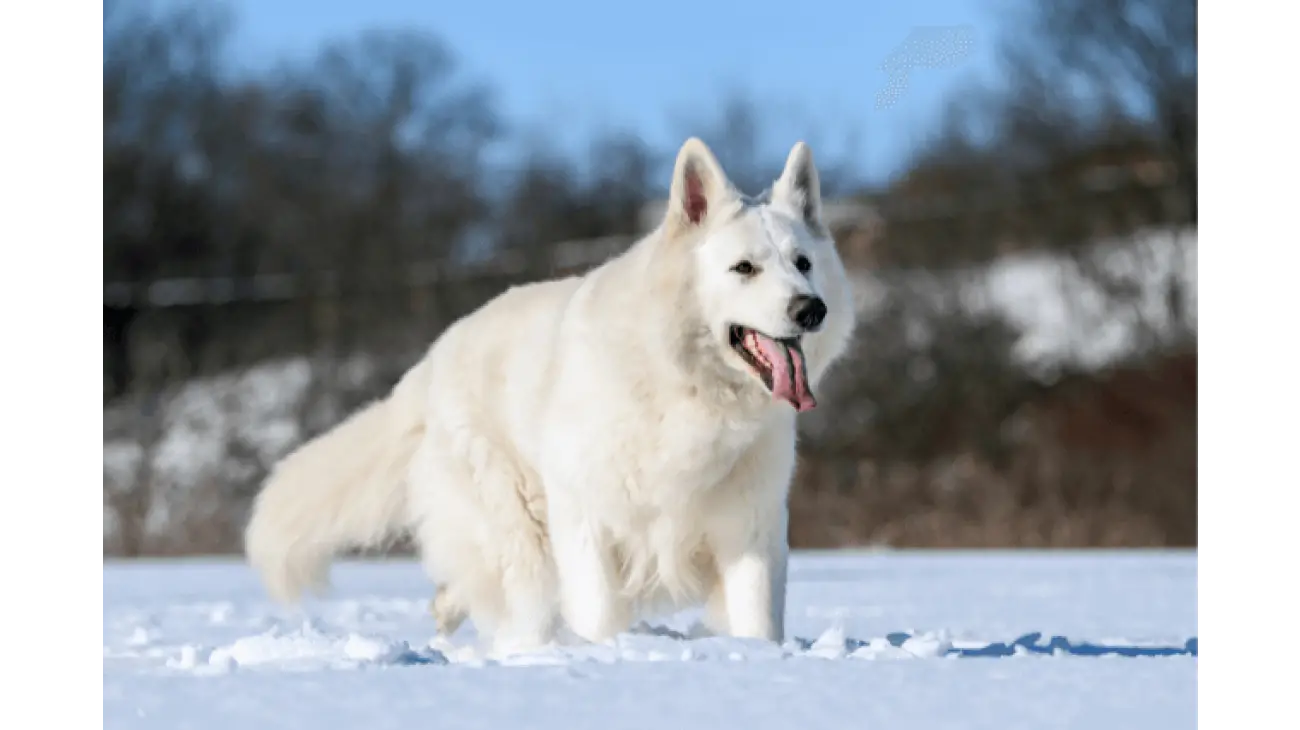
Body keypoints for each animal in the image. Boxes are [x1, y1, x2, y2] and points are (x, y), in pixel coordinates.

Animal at [245, 137, 852, 654]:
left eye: (802, 263)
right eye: (744, 268)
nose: (810, 309)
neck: (685, 388)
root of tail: (432, 360)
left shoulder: (749, 527)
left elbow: (757, 621)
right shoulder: (588, 522)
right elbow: (599, 615)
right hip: (523, 538)